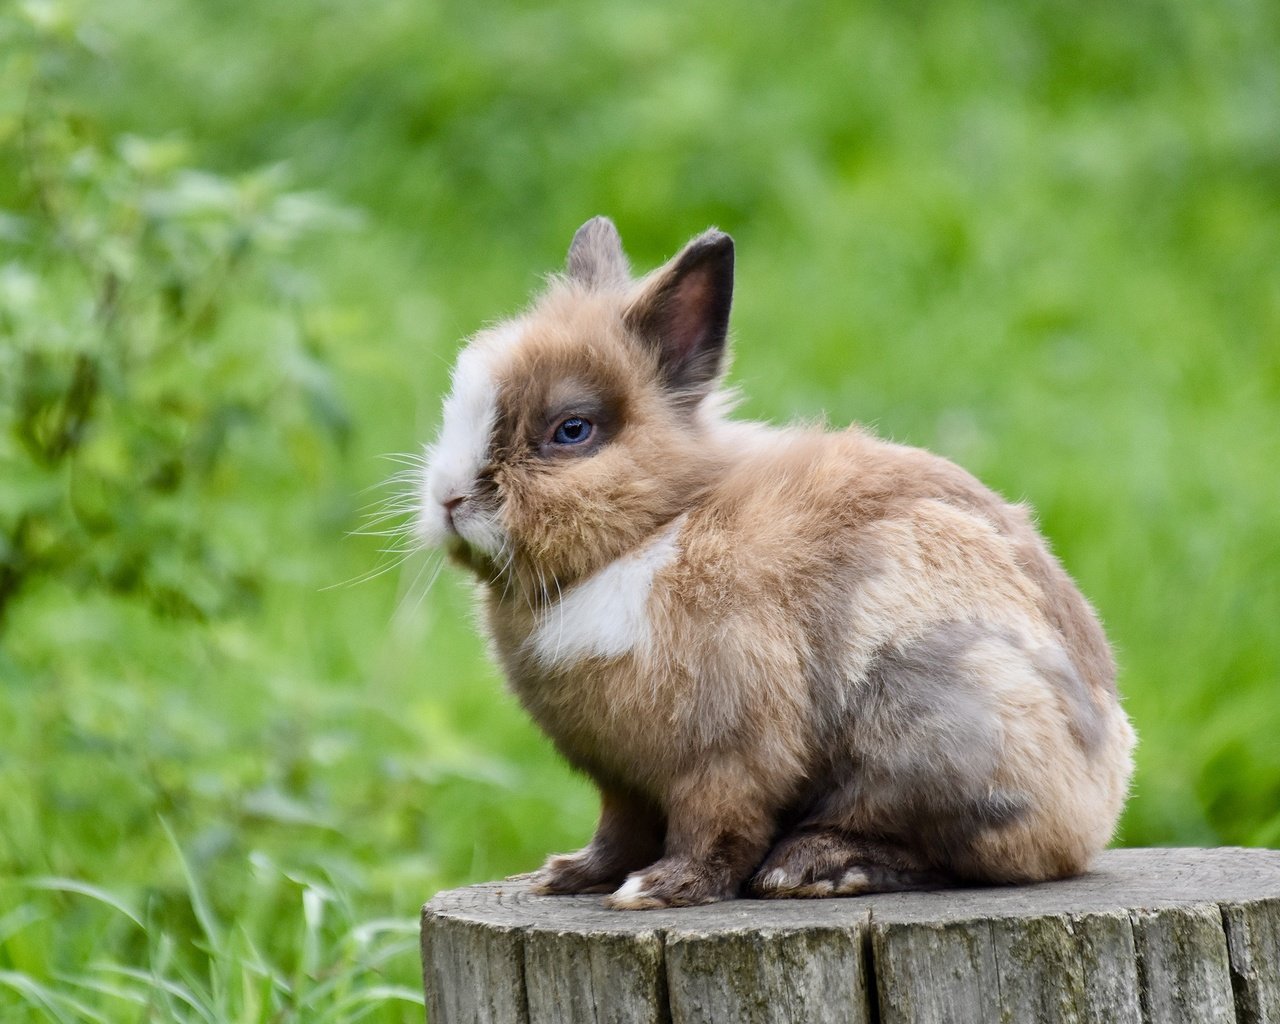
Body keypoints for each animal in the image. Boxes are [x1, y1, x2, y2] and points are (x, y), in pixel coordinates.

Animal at [414, 217, 1136, 911]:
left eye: (571, 431)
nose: (450, 499)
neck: (654, 531)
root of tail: (1101, 801)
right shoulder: (621, 781)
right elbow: (619, 834)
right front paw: (568, 877)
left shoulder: (725, 754)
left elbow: (714, 828)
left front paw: (658, 892)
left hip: (938, 725)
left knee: (953, 854)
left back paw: (812, 867)